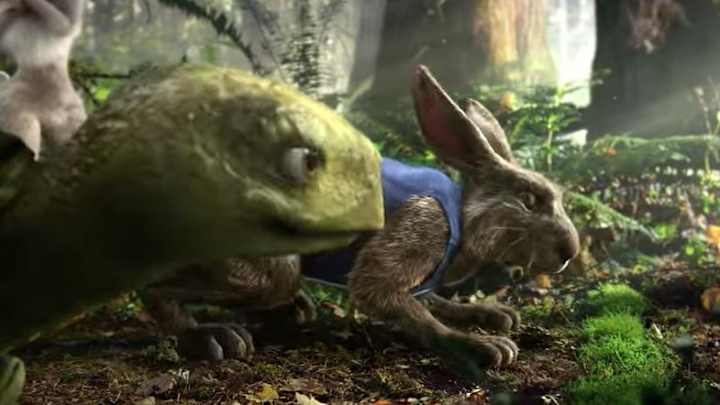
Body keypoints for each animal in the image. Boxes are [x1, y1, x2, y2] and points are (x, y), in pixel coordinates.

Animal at [144, 65, 580, 377]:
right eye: (528, 199)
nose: (570, 251)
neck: (462, 216)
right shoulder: (415, 236)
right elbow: (407, 309)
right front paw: (482, 345)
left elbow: (435, 302)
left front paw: (493, 315)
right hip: (266, 270)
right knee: (157, 287)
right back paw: (210, 337)